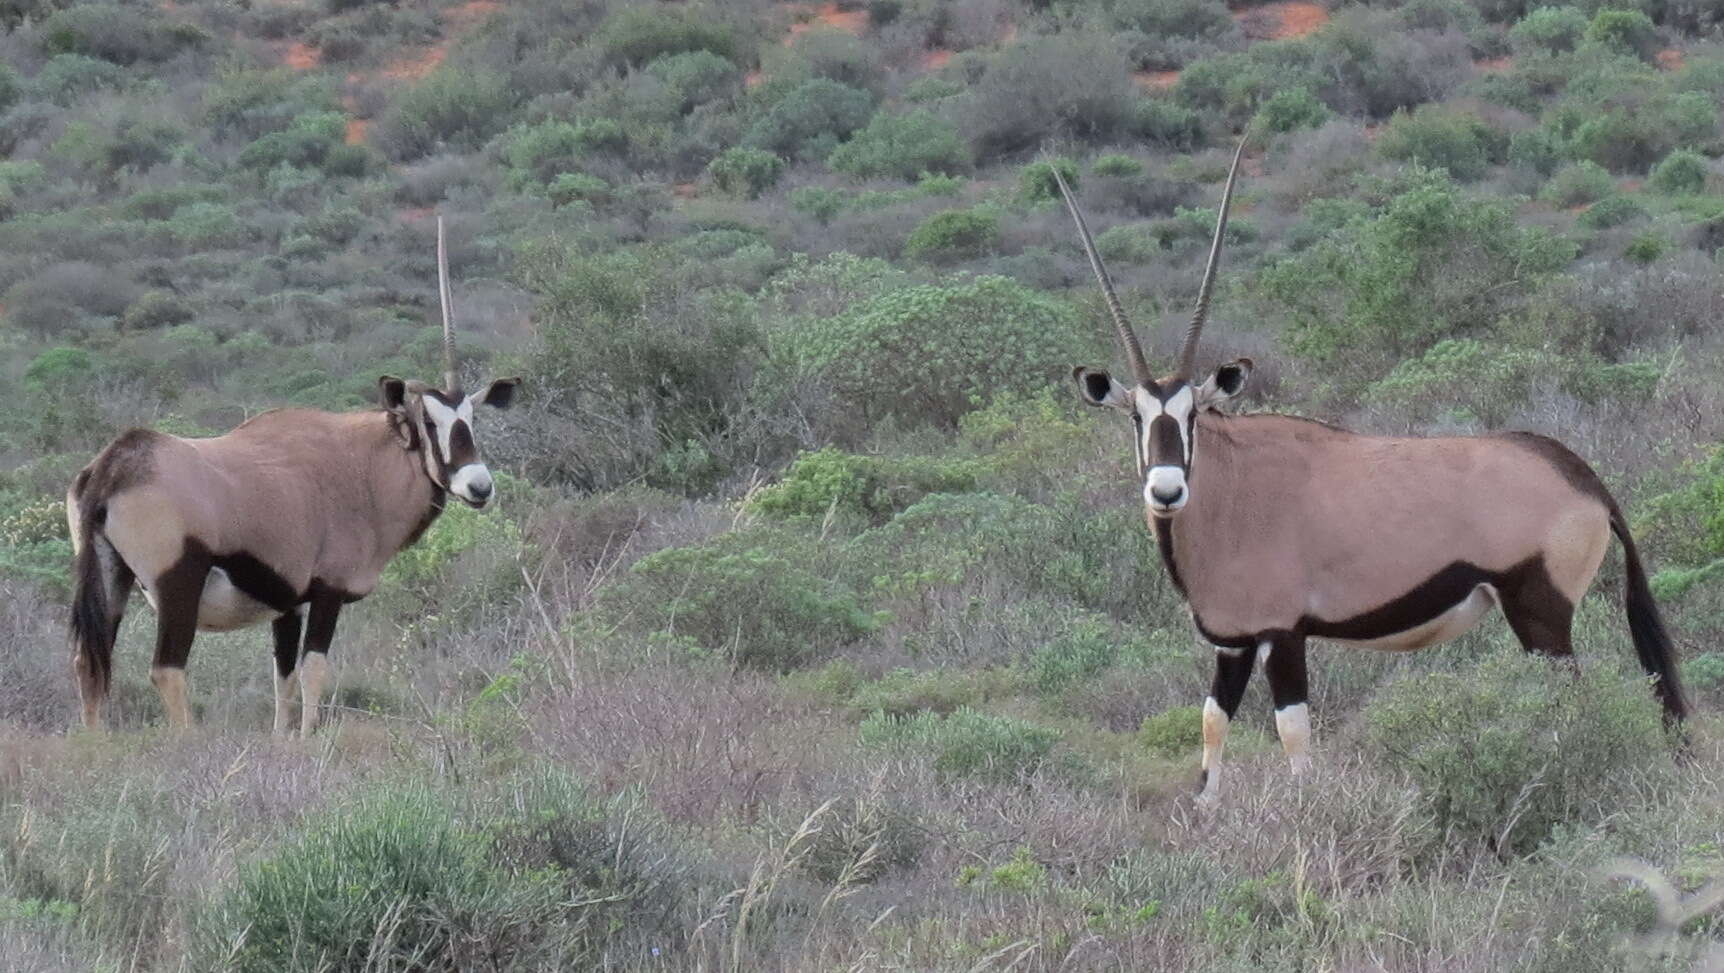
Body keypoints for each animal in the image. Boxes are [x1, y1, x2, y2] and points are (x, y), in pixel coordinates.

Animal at [65, 218, 517, 738]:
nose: (478, 486)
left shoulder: (289, 604)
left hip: (110, 577)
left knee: (90, 662)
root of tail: (114, 464)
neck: (362, 467)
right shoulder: (327, 591)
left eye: (472, 419)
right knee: (166, 669)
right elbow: (312, 669)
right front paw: (309, 738)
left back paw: (96, 743)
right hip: (176, 583)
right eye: (429, 422)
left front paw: (283, 739)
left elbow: (281, 676)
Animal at [1048, 142, 1682, 797]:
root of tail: (1583, 477)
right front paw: (1205, 809)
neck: (1231, 490)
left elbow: (1293, 733)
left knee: (1572, 699)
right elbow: (1212, 723)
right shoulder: (1232, 644)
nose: (1168, 489)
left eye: (1193, 414)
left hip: (1541, 614)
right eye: (1137, 416)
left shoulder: (1282, 634)